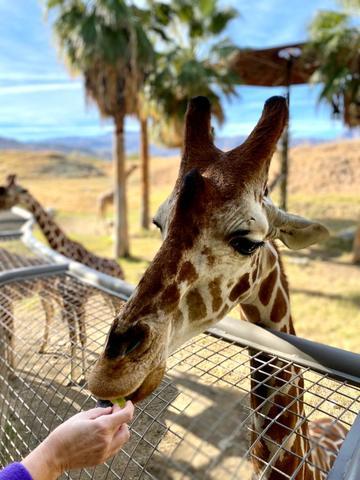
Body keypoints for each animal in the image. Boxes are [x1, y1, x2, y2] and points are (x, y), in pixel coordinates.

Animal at [0, 174, 125, 380]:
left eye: (6, 192)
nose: (1, 205)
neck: (64, 251)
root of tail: (119, 266)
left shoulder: (79, 302)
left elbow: (82, 338)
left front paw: (82, 376)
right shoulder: (68, 302)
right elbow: (73, 338)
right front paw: (72, 377)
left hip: (112, 297)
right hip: (104, 297)